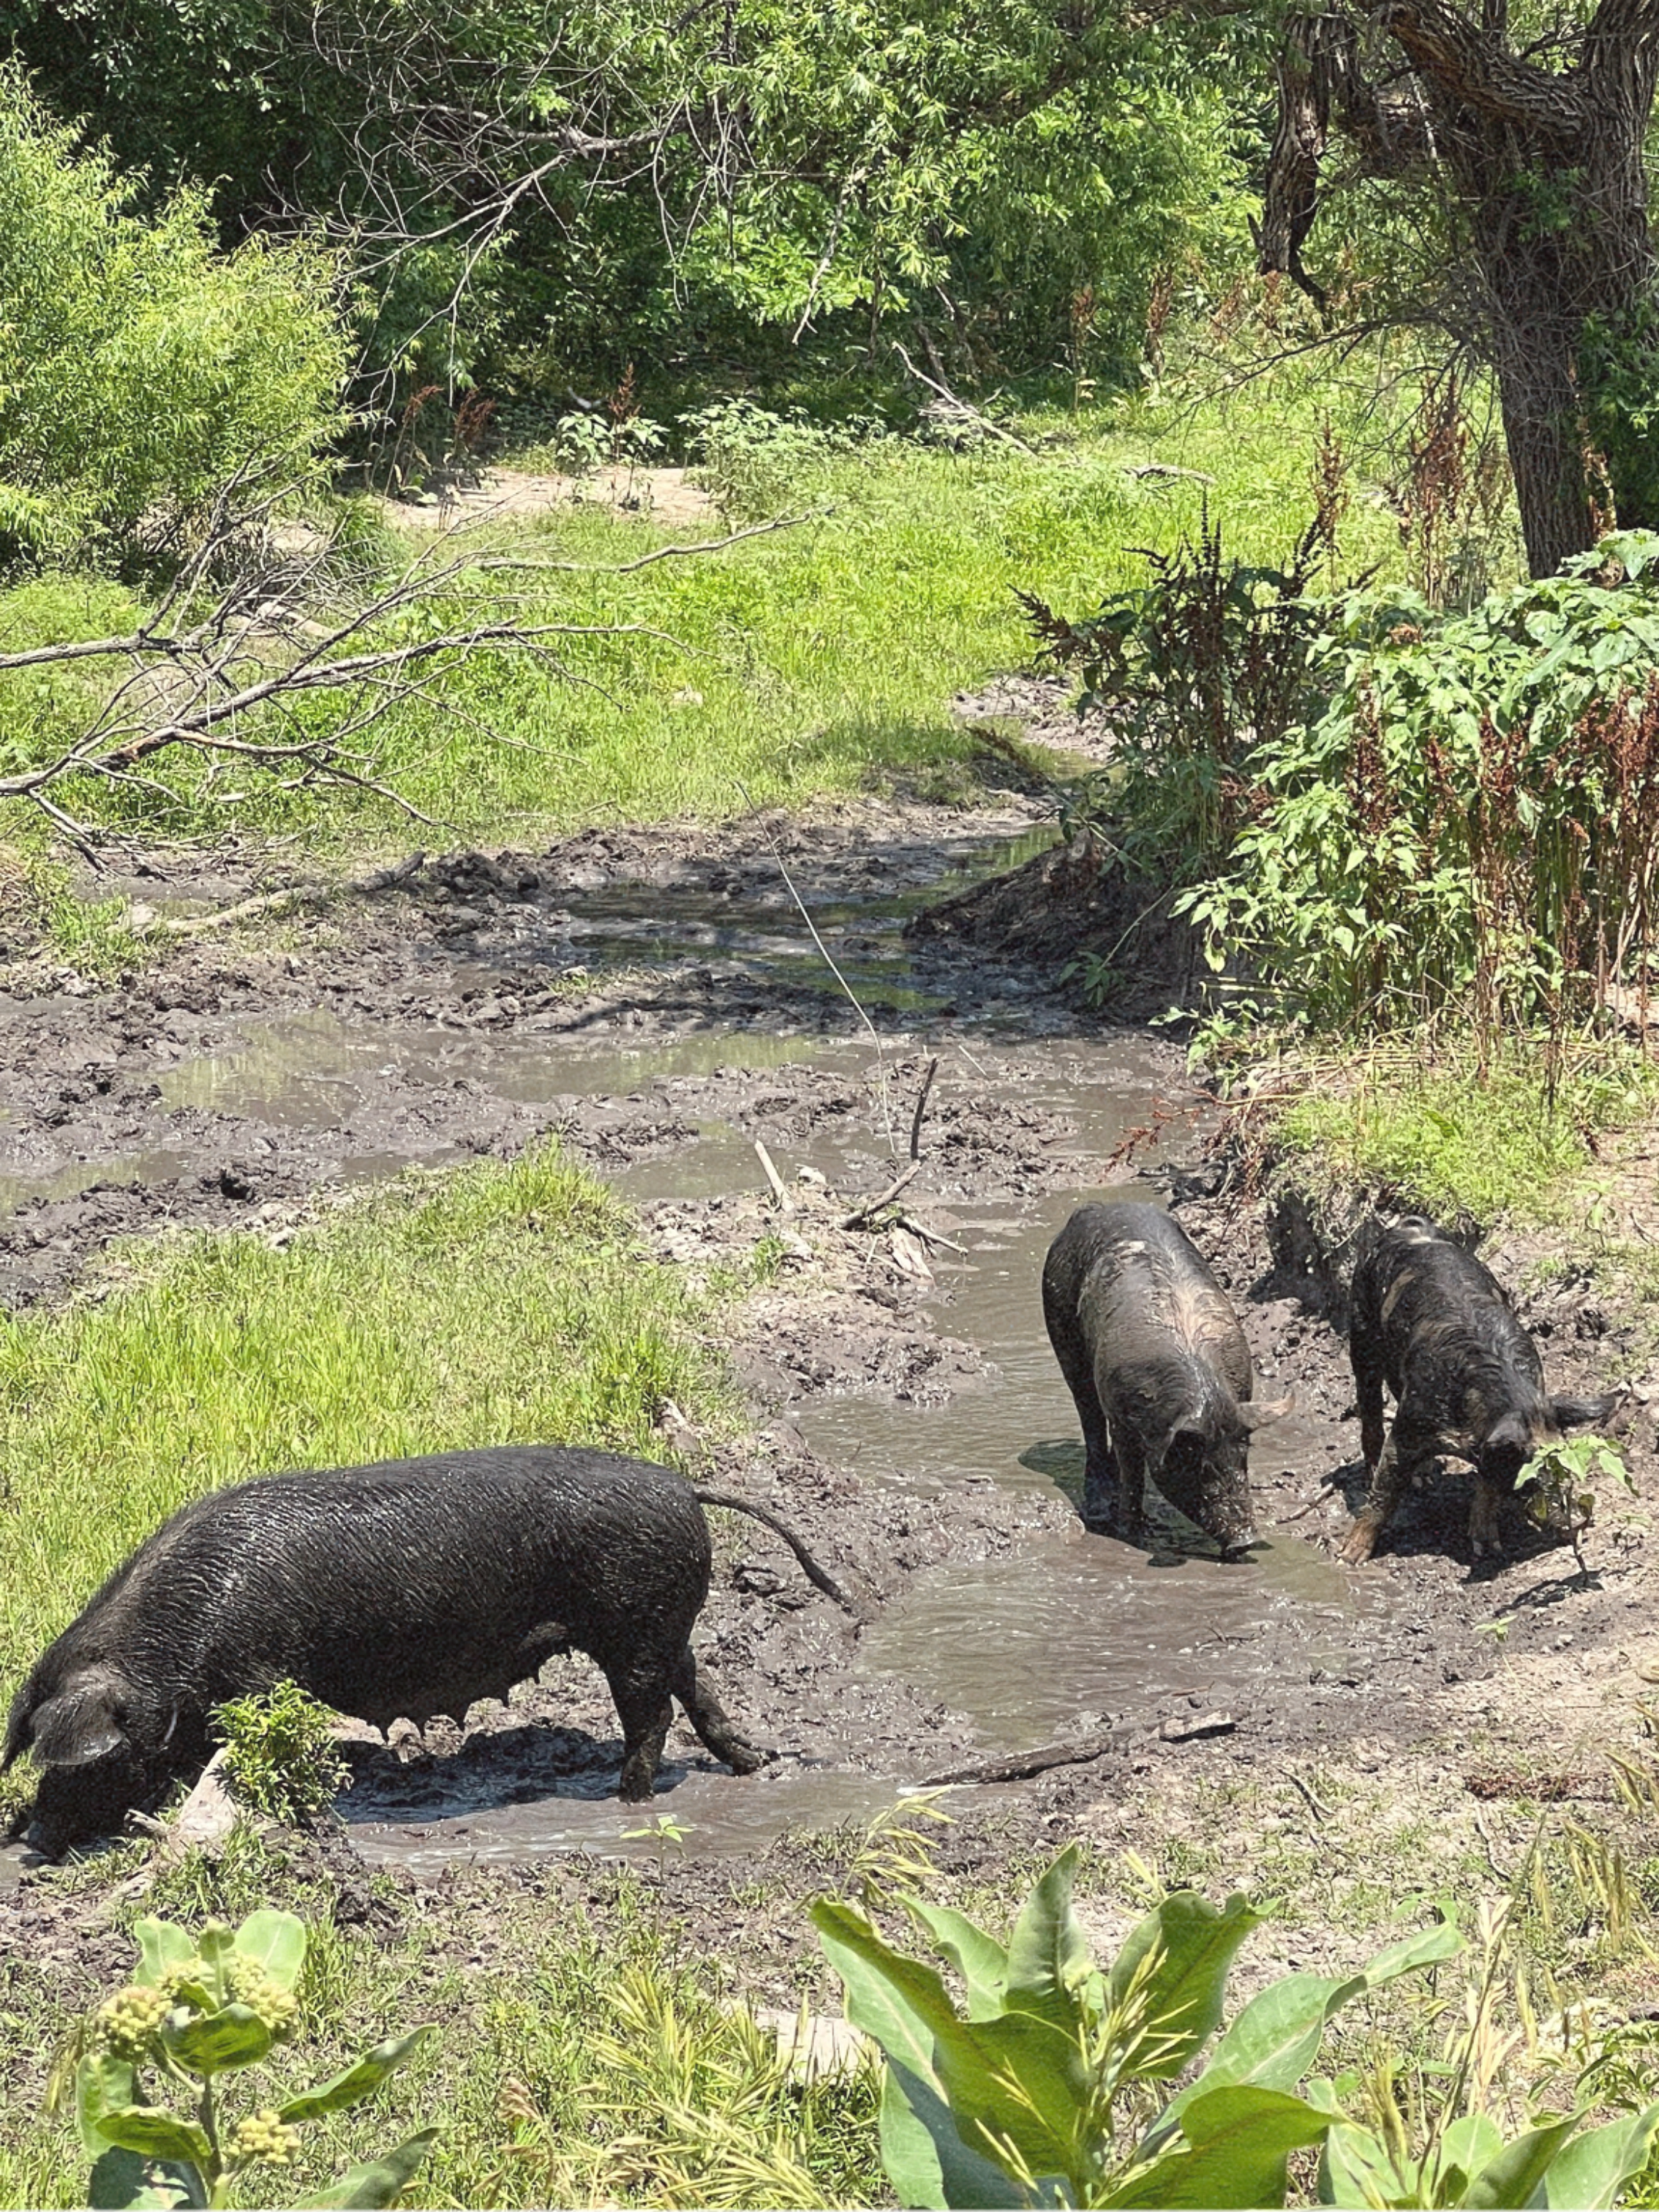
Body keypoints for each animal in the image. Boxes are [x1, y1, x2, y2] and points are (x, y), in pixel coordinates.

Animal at [4, 1445, 851, 1855]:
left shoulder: (264, 1680)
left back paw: (627, 1800)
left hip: (632, 1627)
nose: (36, 1838)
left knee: (652, 1715)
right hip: (663, 1623)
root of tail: (683, 1488)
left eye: (99, 1760)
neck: (179, 1647)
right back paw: (754, 1765)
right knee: (697, 1687)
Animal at [1042, 1203, 1293, 1554]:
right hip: (1061, 1326)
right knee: (1089, 1417)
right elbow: (1133, 1473)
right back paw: (1098, 1510)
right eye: (1197, 1464)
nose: (1247, 1540)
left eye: (1242, 1457)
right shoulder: (1121, 1416)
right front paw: (1131, 1534)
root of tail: (1096, 1208)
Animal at [1340, 1217, 1617, 1564]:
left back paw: (1425, 1475)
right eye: (1530, 1466)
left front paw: (1486, 1547)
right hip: (1361, 1328)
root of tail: (1408, 1224)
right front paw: (1349, 1556)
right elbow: (1385, 1490)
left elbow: (1487, 1486)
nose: (1576, 1522)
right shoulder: (1413, 1419)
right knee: (1370, 1408)